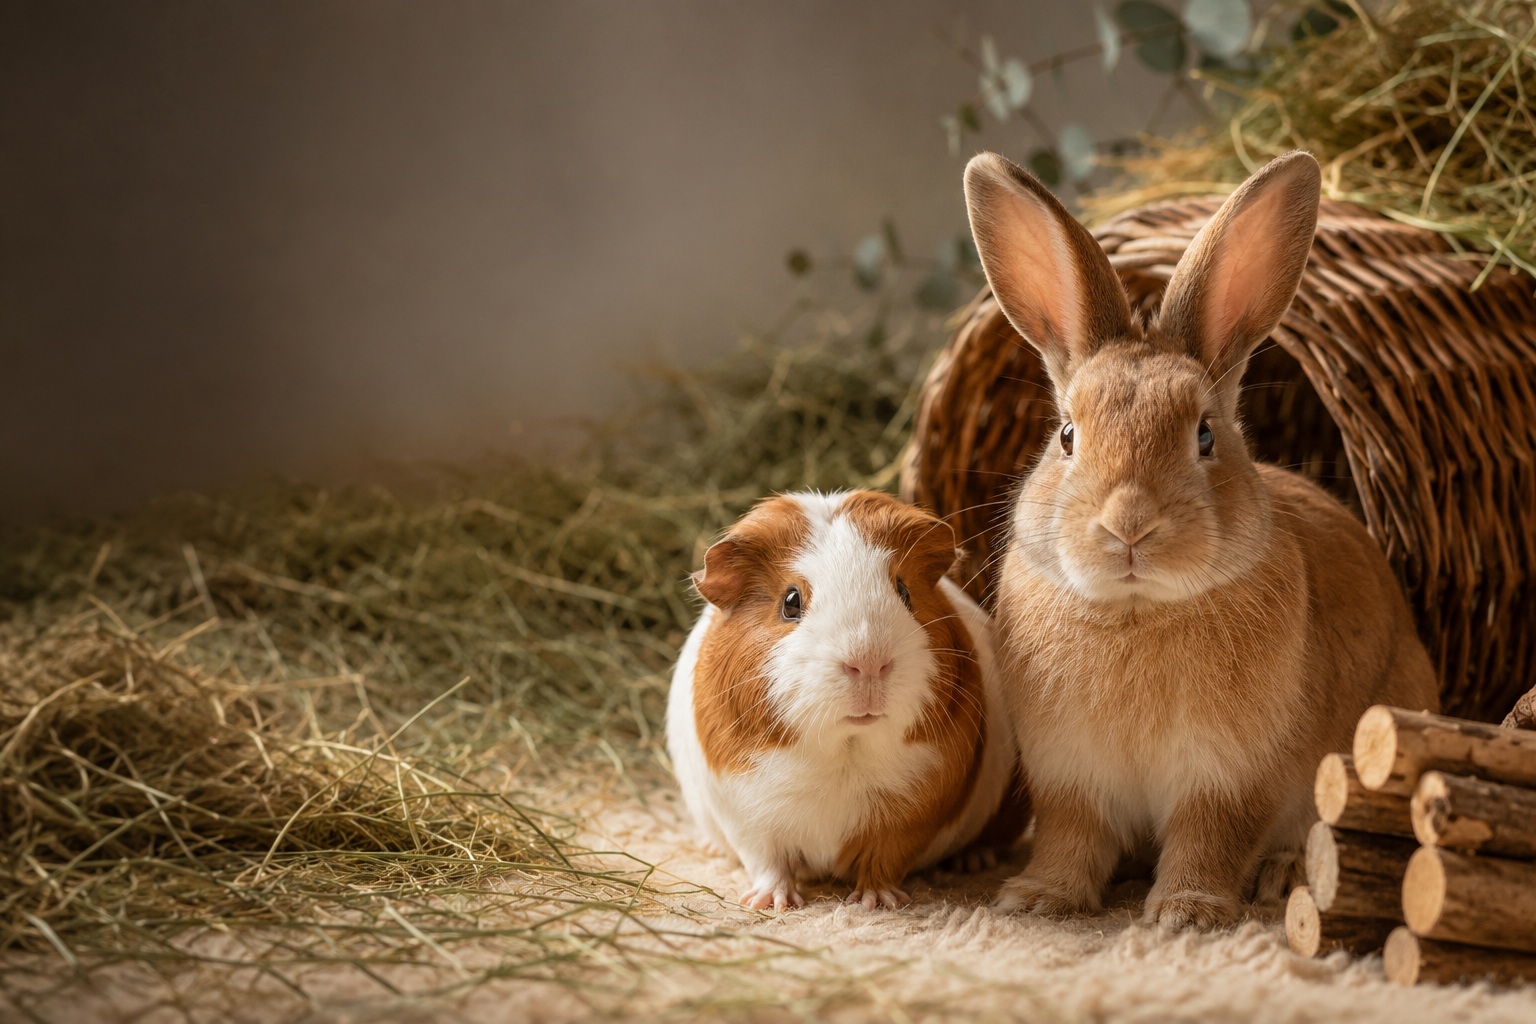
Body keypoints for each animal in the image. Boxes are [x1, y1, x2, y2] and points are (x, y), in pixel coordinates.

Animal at [666, 489, 1027, 912]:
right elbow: (769, 862)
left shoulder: (911, 812)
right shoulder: (747, 814)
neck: (846, 750)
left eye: (904, 591)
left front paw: (877, 902)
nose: (868, 663)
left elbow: (884, 860)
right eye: (791, 602)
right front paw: (771, 904)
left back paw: (973, 860)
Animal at [961, 149, 1439, 929]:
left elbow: (1209, 838)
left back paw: (1283, 876)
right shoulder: (1070, 777)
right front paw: (1037, 900)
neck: (1137, 610)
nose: (1129, 525)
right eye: (1067, 435)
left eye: (1206, 435)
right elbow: (1070, 837)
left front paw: (1186, 911)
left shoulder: (1230, 777)